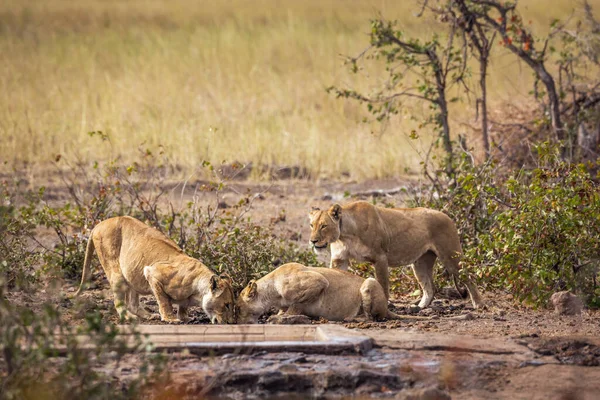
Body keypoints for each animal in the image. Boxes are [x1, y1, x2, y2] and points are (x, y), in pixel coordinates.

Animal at [75, 217, 234, 324]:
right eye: (227, 305)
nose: (231, 322)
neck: (198, 293)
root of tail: (99, 224)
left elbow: (182, 306)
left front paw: (185, 317)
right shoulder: (152, 272)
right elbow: (163, 301)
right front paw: (170, 318)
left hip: (132, 274)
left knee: (132, 303)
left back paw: (148, 315)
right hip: (116, 270)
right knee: (119, 302)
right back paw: (129, 317)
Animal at [234, 262, 426, 324]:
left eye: (239, 309)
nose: (237, 322)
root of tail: (387, 307)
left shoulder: (318, 281)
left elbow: (297, 303)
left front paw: (282, 317)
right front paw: (281, 314)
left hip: (369, 282)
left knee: (371, 318)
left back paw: (352, 318)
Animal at [310, 200, 482, 310]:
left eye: (324, 226)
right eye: (312, 225)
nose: (313, 241)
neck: (346, 235)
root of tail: (448, 216)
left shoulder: (380, 257)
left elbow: (383, 285)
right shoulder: (339, 259)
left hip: (450, 256)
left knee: (468, 277)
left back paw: (479, 304)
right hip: (420, 263)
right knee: (430, 287)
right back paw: (419, 307)